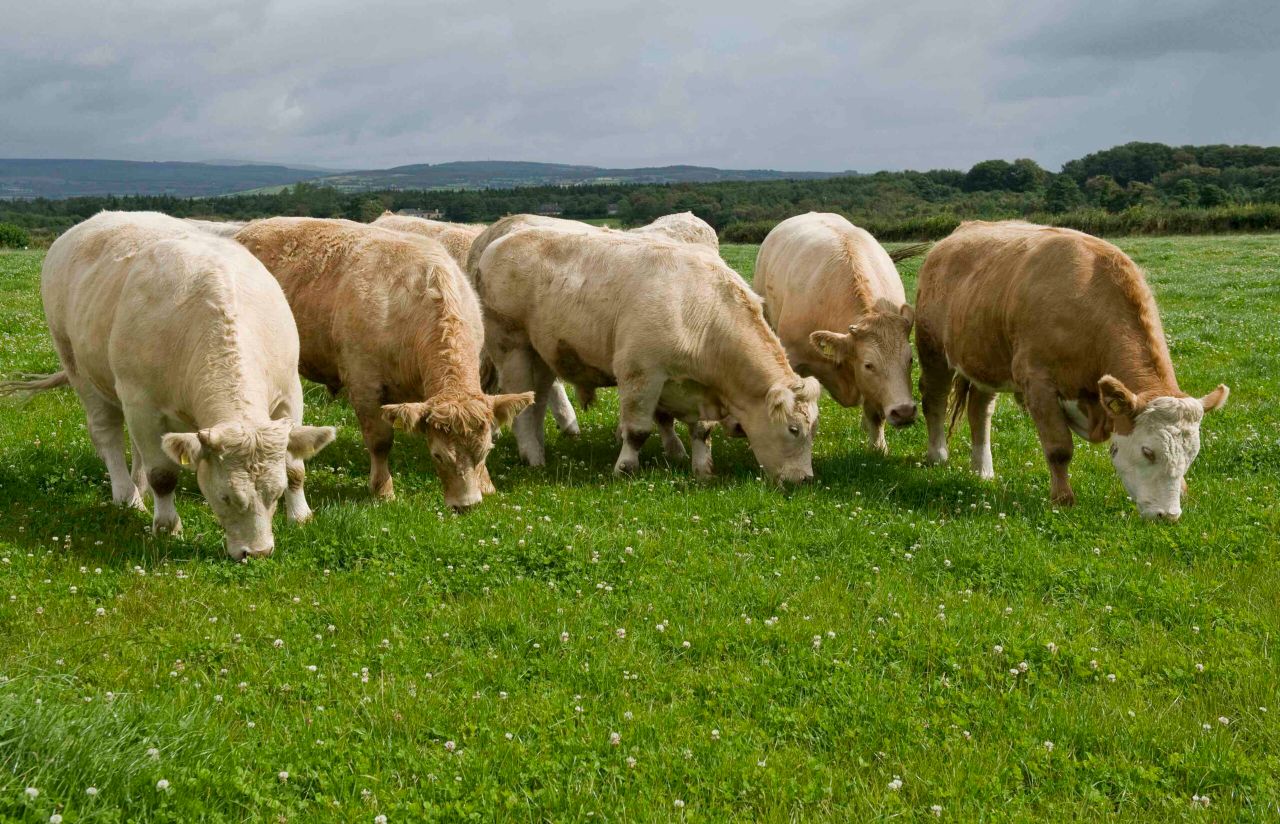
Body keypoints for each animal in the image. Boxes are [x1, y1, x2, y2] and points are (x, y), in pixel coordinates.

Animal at [0, 211, 336, 559]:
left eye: (276, 493)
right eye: (225, 496)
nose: (256, 552)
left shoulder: (290, 393)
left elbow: (295, 465)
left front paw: (300, 516)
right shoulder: (142, 404)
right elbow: (162, 474)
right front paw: (166, 527)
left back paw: (139, 488)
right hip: (79, 367)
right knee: (107, 434)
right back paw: (128, 496)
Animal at [234, 217, 533, 510]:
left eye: (485, 452)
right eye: (437, 455)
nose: (466, 505)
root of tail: (253, 227)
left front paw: (487, 485)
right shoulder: (364, 385)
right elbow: (380, 442)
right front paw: (382, 489)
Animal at [476, 226, 821, 483]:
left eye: (813, 428)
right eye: (793, 429)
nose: (804, 478)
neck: (699, 312)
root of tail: (499, 242)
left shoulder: (696, 387)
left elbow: (701, 430)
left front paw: (703, 469)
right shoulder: (640, 374)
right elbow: (638, 431)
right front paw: (625, 468)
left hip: (543, 355)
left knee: (538, 400)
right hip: (513, 349)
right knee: (521, 405)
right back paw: (532, 456)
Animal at [755, 213, 917, 453]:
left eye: (910, 360)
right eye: (868, 365)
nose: (904, 411)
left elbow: (875, 414)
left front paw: (878, 448)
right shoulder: (794, 360)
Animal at [914, 220, 1228, 520]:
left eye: (1192, 454)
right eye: (1147, 451)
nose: (1168, 515)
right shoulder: (1038, 383)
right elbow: (1059, 449)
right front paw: (1062, 499)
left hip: (986, 359)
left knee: (979, 411)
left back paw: (983, 471)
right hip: (932, 349)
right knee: (934, 399)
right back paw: (937, 454)